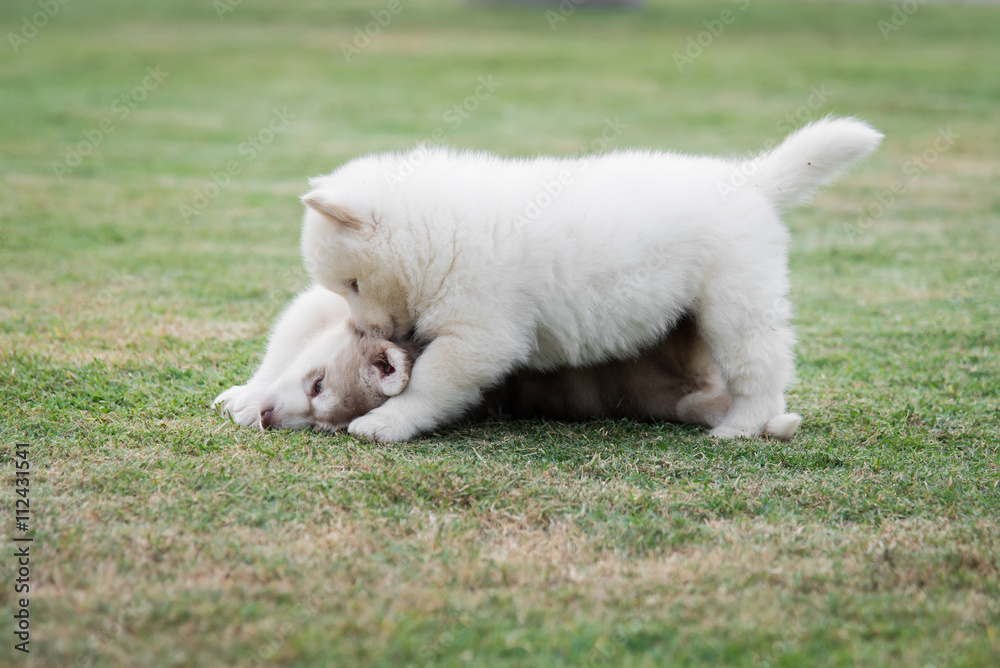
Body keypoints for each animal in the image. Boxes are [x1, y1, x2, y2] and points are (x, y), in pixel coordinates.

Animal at [215, 284, 800, 436]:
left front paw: (246, 404)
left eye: (319, 394)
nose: (267, 417)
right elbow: (277, 350)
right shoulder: (312, 308)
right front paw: (244, 396)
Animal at [298, 118, 884, 444]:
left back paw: (740, 427)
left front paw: (388, 422)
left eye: (352, 284)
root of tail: (748, 183)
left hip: (735, 305)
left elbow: (430, 383)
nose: (368, 336)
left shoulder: (480, 335)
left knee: (759, 370)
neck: (439, 235)